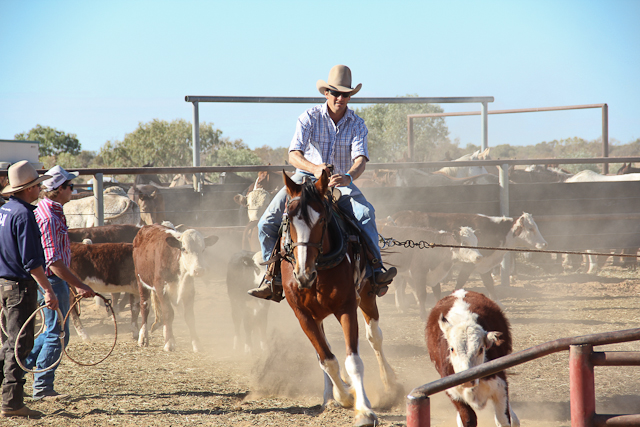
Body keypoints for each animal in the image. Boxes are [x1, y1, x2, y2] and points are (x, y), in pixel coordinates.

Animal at [282, 171, 400, 427]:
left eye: (322, 220)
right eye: (288, 220)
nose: (303, 274)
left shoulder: (347, 307)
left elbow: (352, 361)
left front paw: (363, 410)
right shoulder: (303, 316)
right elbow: (327, 359)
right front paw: (343, 395)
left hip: (366, 295)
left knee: (375, 337)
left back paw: (390, 384)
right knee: (323, 353)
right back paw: (330, 396)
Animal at [392, 211, 548, 300]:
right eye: (530, 228)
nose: (544, 244)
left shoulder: (483, 264)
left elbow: (489, 284)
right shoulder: (469, 264)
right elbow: (460, 282)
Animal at [424, 290, 520, 427]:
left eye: (481, 349)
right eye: (452, 349)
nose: (467, 380)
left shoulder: (500, 387)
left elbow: (503, 419)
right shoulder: (453, 392)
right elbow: (468, 419)